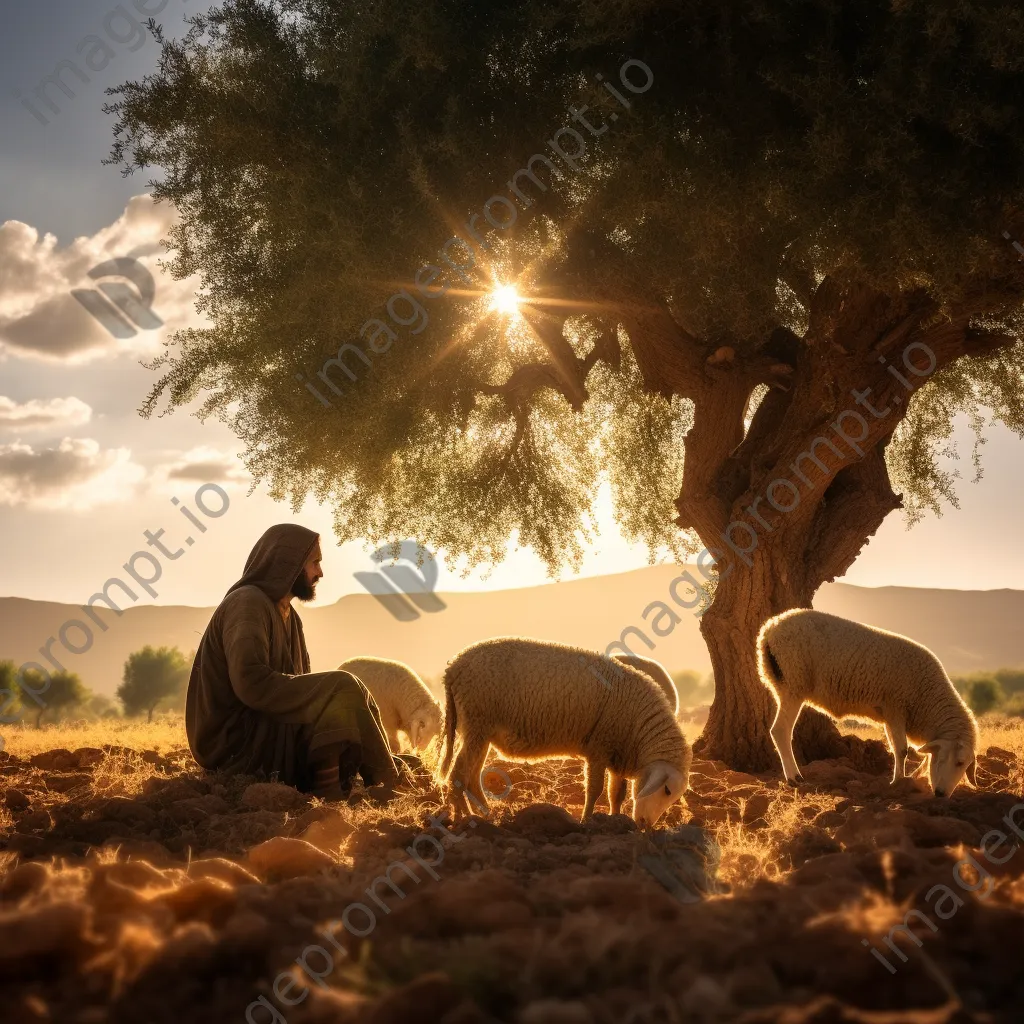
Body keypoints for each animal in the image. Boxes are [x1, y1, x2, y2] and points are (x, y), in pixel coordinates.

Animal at [436, 634, 692, 827]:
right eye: (667, 790)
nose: (644, 825)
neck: (640, 725)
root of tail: (452, 668)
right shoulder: (600, 748)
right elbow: (595, 790)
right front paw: (587, 821)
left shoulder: (617, 752)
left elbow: (616, 793)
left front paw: (615, 819)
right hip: (476, 724)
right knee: (458, 776)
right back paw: (464, 818)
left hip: (480, 732)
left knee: (471, 778)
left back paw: (486, 814)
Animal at [757, 606, 978, 798]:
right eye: (959, 762)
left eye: (965, 765)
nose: (941, 794)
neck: (928, 699)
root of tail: (770, 628)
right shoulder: (896, 707)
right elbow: (902, 750)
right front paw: (898, 782)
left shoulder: (890, 715)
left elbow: (900, 749)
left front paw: (910, 776)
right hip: (794, 683)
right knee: (780, 730)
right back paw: (794, 777)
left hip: (778, 682)